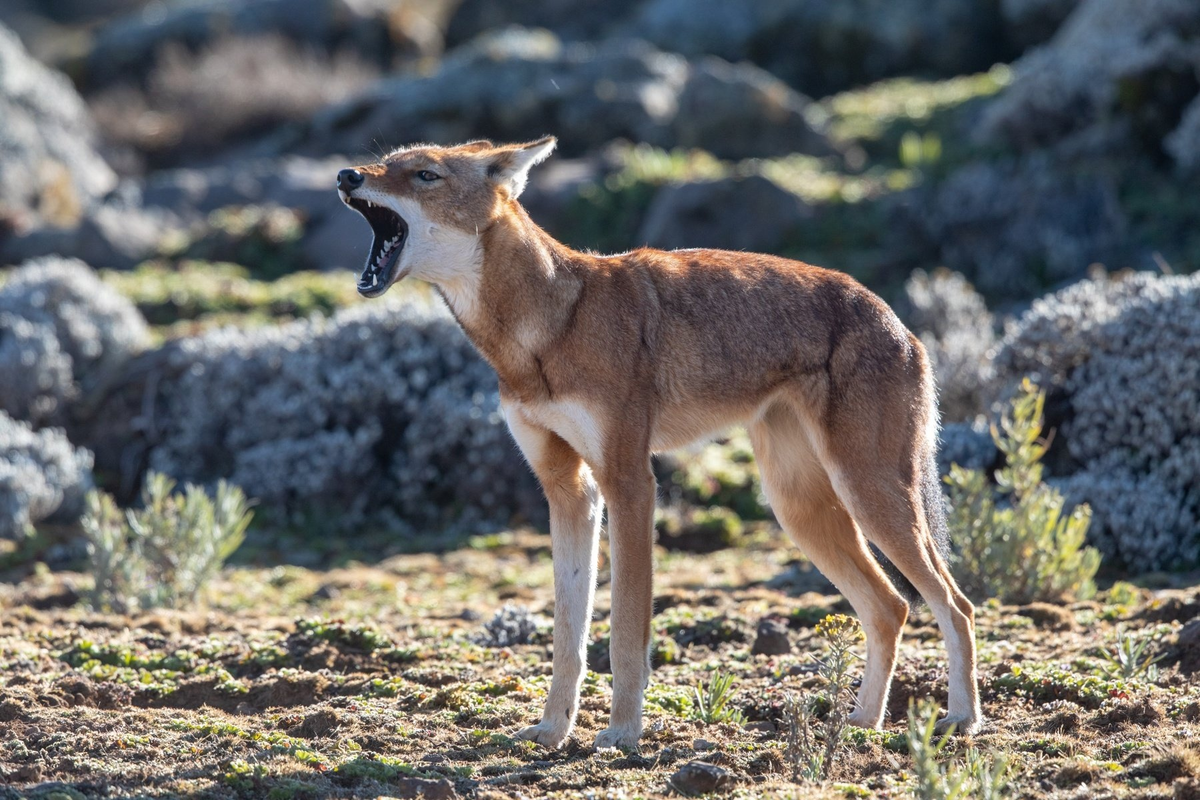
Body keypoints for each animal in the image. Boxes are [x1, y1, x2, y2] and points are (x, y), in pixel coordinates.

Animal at [333, 139, 979, 753]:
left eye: (425, 175)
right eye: (386, 162)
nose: (346, 176)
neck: (548, 327)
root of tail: (897, 318)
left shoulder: (630, 483)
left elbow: (624, 630)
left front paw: (622, 733)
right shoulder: (569, 492)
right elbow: (567, 635)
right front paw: (552, 730)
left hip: (868, 497)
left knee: (954, 604)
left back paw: (962, 720)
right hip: (801, 510)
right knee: (891, 607)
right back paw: (864, 724)